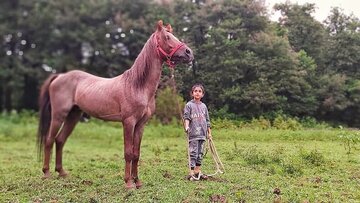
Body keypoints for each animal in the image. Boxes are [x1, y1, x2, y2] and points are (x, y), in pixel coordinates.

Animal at [37, 20, 194, 189]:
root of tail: (59, 76)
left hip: (73, 115)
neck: (137, 86)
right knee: (49, 140)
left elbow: (136, 153)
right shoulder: (128, 122)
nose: (189, 53)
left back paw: (61, 172)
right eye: (167, 37)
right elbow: (128, 153)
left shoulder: (141, 124)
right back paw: (46, 173)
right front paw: (128, 183)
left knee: (60, 140)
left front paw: (138, 182)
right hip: (59, 115)